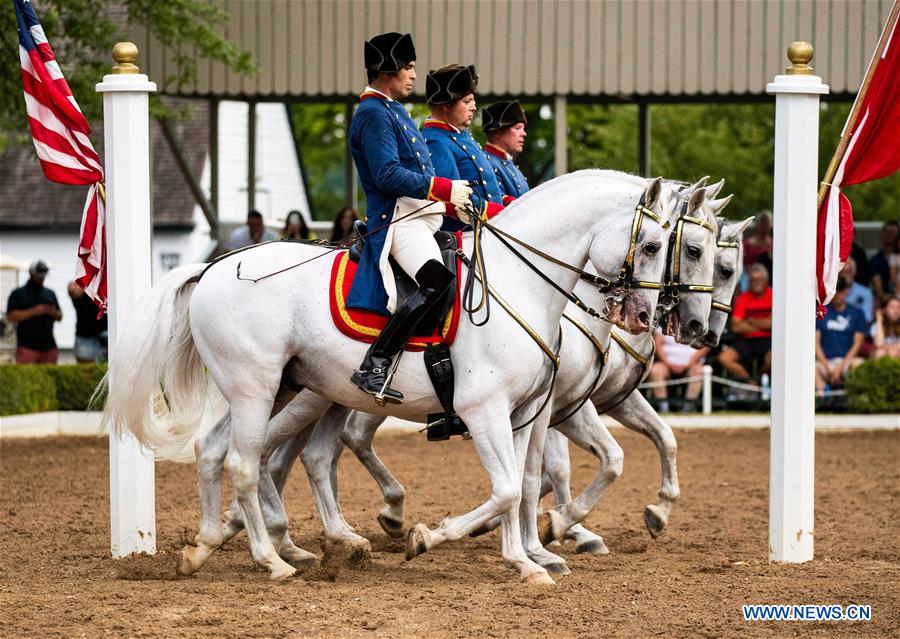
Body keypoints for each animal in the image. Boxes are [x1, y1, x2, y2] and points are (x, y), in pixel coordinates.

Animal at [102, 170, 674, 584]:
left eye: (673, 246)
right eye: (651, 245)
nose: (647, 316)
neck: (520, 283)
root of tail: (216, 267)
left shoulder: (521, 413)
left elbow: (517, 487)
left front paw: (524, 561)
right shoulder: (485, 410)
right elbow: (509, 489)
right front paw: (429, 537)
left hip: (281, 389)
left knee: (219, 452)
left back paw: (204, 547)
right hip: (256, 389)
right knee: (248, 463)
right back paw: (274, 559)